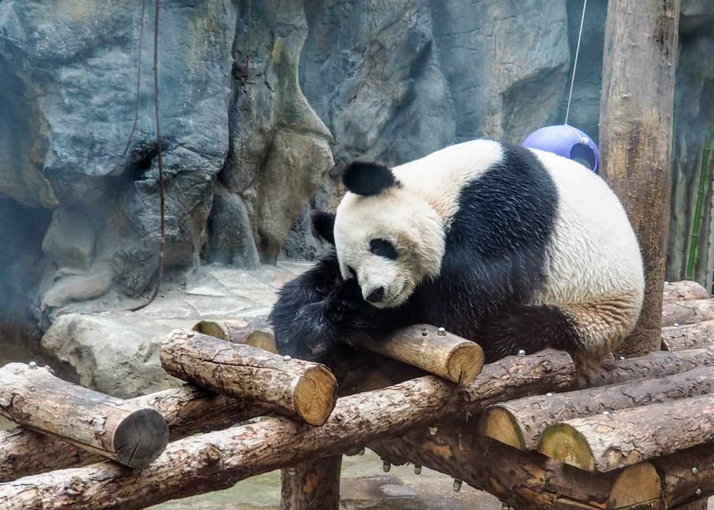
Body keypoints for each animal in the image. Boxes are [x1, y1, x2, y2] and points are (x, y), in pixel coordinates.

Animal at [269, 139, 645, 383]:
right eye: (352, 270)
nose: (375, 293)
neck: (444, 192)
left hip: (593, 315)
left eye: (381, 245)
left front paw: (331, 317)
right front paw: (297, 312)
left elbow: (455, 313)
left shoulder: (501, 216)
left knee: (515, 329)